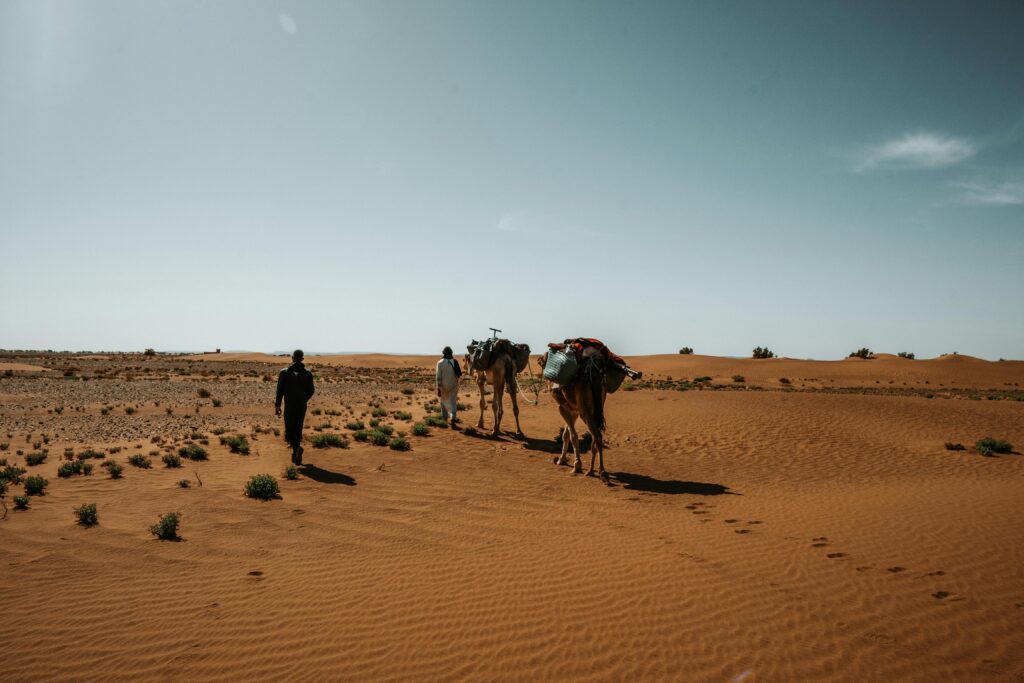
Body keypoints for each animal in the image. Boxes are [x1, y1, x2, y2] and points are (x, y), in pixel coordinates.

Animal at [538, 346, 609, 481]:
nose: (540, 361)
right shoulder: (573, 410)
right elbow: (566, 434)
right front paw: (561, 460)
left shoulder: (562, 407)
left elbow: (573, 435)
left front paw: (577, 465)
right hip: (596, 408)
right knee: (595, 436)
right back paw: (591, 471)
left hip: (585, 411)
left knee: (597, 436)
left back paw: (602, 472)